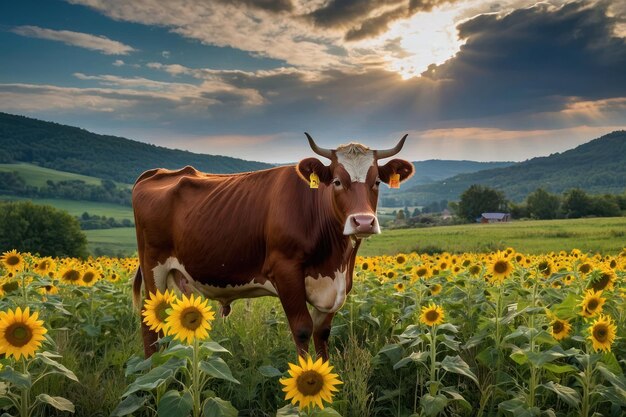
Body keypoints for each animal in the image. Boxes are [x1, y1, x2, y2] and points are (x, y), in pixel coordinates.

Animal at [131, 133, 412, 358]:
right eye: (337, 182)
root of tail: (158, 172)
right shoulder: (285, 270)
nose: (363, 222)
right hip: (153, 267)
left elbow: (322, 333)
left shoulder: (339, 284)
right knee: (149, 322)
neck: (335, 260)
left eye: (377, 182)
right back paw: (152, 369)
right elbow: (302, 329)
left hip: (178, 278)